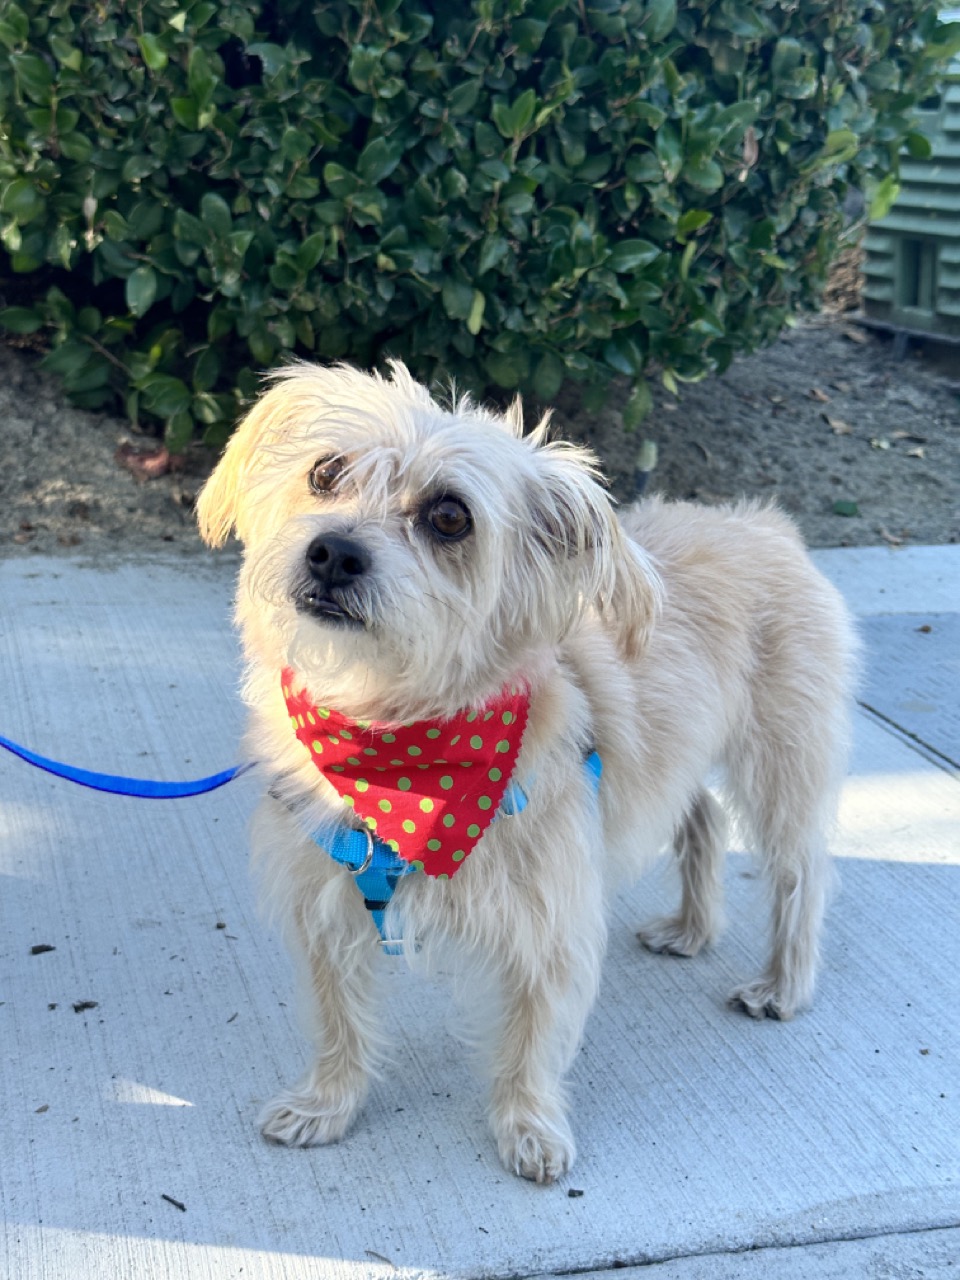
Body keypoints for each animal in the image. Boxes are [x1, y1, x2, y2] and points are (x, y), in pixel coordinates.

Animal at [199, 358, 860, 1177]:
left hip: (781, 766)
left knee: (801, 872)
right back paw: (692, 928)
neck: (397, 747)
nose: (334, 552)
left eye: (451, 517)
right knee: (701, 815)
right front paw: (328, 1104)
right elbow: (337, 1018)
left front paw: (529, 1127)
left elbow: (533, 1039)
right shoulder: (323, 906)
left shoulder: (550, 922)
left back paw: (783, 984)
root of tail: (764, 523)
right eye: (326, 471)